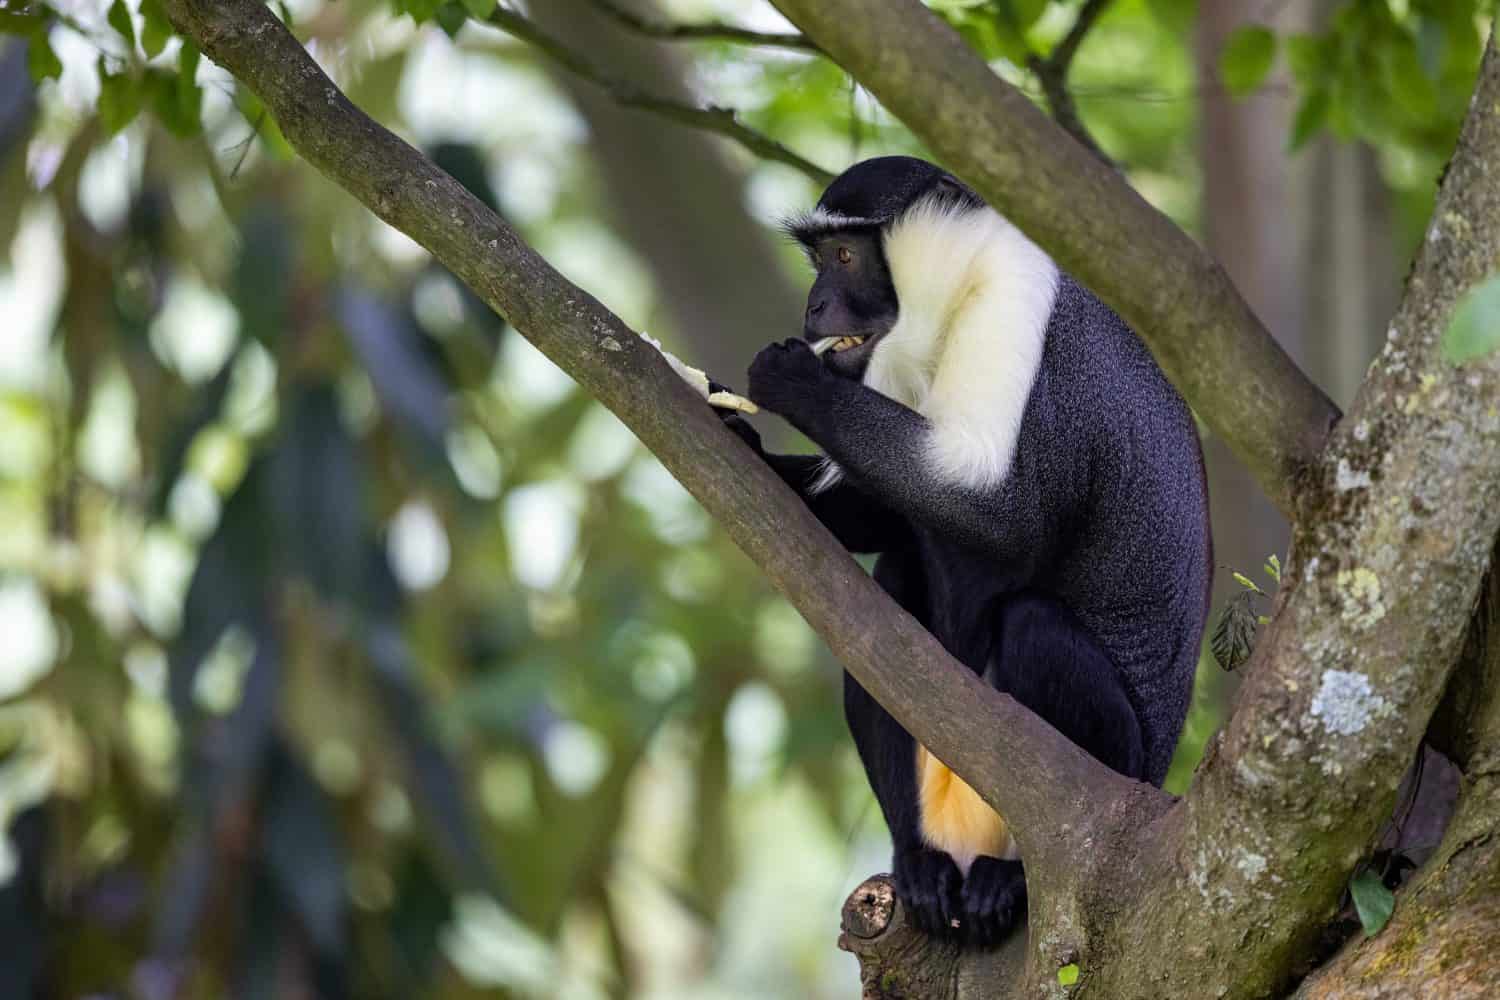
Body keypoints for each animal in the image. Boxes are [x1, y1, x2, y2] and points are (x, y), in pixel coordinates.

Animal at [721, 156, 1211, 946]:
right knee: (891, 593)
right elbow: (888, 521)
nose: (814, 306)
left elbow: (1005, 516)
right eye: (817, 260)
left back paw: (1010, 880)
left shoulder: (1015, 308)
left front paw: (792, 381)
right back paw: (920, 864)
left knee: (1030, 621)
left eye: (845, 256)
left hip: (1120, 760)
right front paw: (737, 434)